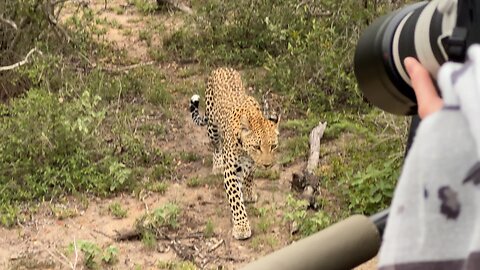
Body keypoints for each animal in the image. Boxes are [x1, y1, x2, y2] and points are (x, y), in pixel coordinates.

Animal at [188, 67, 278, 240]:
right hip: (212, 128)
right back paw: (217, 165)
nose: (267, 165)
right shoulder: (231, 170)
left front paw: (249, 192)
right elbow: (235, 198)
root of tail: (221, 67)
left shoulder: (250, 163)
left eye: (273, 146)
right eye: (257, 147)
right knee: (216, 146)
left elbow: (249, 176)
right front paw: (241, 227)